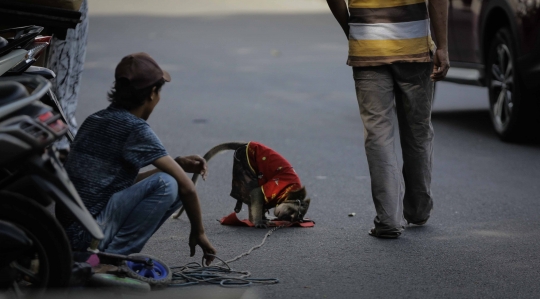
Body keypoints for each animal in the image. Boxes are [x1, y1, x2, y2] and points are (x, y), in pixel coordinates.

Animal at [171, 142, 310, 229]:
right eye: (291, 212)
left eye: (290, 217)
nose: (283, 217)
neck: (289, 191)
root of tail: (246, 144)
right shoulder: (277, 185)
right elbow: (257, 191)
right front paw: (258, 221)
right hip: (242, 162)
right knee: (252, 186)